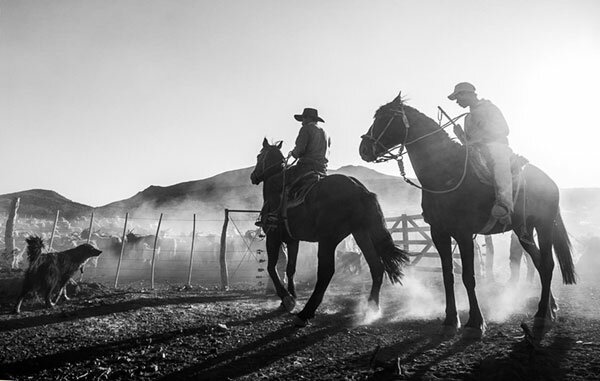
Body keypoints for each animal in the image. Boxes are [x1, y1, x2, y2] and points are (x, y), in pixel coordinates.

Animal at [251, 138, 410, 326]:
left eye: (259, 156)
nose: (253, 176)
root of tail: (360, 190)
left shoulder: (273, 237)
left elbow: (271, 267)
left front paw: (287, 299)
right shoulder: (293, 240)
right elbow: (290, 269)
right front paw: (291, 297)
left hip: (328, 239)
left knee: (326, 272)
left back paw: (306, 313)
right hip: (361, 234)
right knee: (376, 267)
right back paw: (372, 308)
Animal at [358, 93, 576, 340]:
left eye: (386, 118)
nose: (363, 148)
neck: (444, 173)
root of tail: (550, 181)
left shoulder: (463, 234)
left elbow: (469, 277)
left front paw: (475, 322)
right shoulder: (439, 233)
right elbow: (448, 275)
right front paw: (450, 320)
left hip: (544, 226)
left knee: (547, 264)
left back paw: (541, 315)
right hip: (524, 231)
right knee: (539, 263)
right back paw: (550, 309)